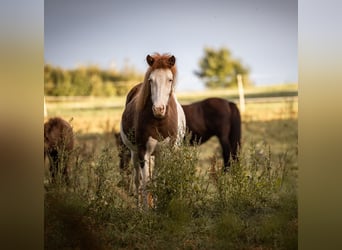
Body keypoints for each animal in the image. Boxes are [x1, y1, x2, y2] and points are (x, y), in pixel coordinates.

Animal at [119, 53, 186, 208]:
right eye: (150, 80)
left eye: (170, 79)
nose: (158, 109)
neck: (158, 121)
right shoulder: (143, 152)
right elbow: (146, 184)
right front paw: (146, 210)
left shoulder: (165, 153)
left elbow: (159, 180)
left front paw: (158, 206)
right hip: (135, 153)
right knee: (137, 180)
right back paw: (138, 206)